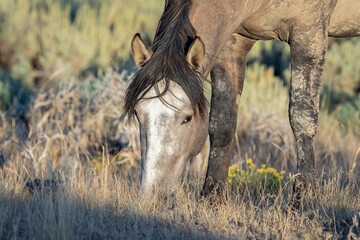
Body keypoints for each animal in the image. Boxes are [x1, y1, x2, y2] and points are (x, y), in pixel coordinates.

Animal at [122, 0, 358, 195]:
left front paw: (304, 198)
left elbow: (302, 117)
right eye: (138, 115)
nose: (153, 195)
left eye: (188, 118)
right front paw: (212, 198)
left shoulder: (309, 35)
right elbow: (222, 123)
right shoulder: (232, 43)